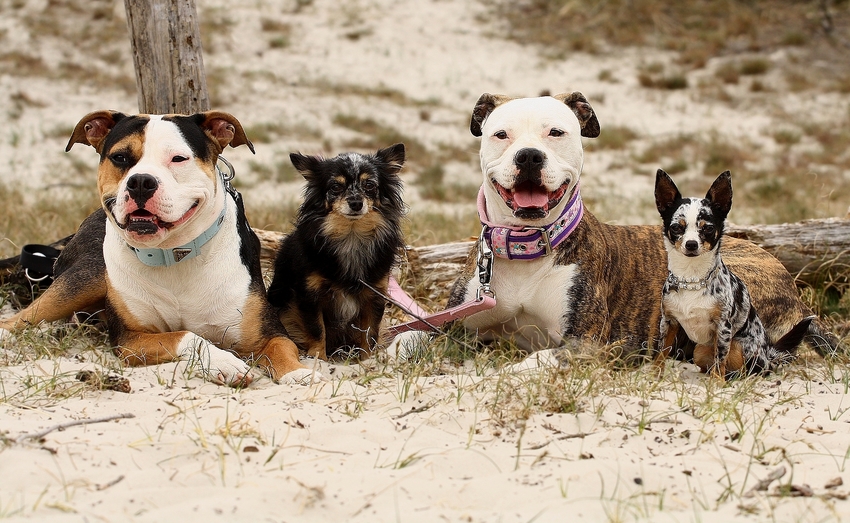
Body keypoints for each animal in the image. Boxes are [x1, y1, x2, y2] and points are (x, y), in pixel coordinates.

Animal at [0, 110, 315, 385]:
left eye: (178, 158)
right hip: (86, 278)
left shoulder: (268, 333)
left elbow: (281, 348)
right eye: (120, 157)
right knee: (21, 319)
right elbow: (188, 335)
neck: (173, 254)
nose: (140, 182)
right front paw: (225, 363)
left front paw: (297, 373)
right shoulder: (131, 339)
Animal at [267, 144, 406, 361]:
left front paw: (366, 360)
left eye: (369, 185)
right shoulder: (310, 294)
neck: (351, 236)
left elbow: (369, 332)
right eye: (335, 187)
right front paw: (318, 358)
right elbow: (317, 329)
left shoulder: (374, 295)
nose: (356, 202)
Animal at [654, 169, 814, 378]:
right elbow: (661, 352)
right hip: (699, 351)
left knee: (746, 369)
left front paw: (716, 383)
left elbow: (720, 359)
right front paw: (655, 376)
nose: (691, 244)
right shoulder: (668, 322)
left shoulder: (723, 328)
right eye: (676, 227)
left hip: (740, 348)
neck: (692, 278)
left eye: (708, 228)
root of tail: (769, 354)